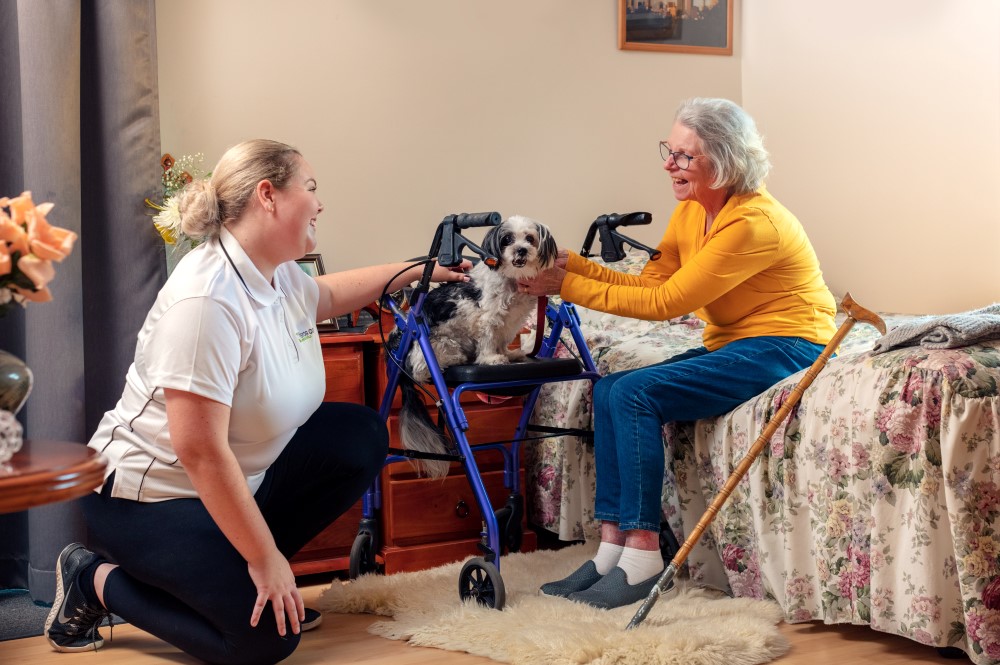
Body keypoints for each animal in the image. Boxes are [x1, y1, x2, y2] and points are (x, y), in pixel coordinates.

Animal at [394, 215, 560, 474]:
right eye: (507, 239)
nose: (521, 249)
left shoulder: (510, 322)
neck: (512, 279)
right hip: (434, 342)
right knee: (422, 368)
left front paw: (509, 355)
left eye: (530, 238)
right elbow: (489, 340)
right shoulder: (489, 317)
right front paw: (491, 359)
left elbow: (502, 341)